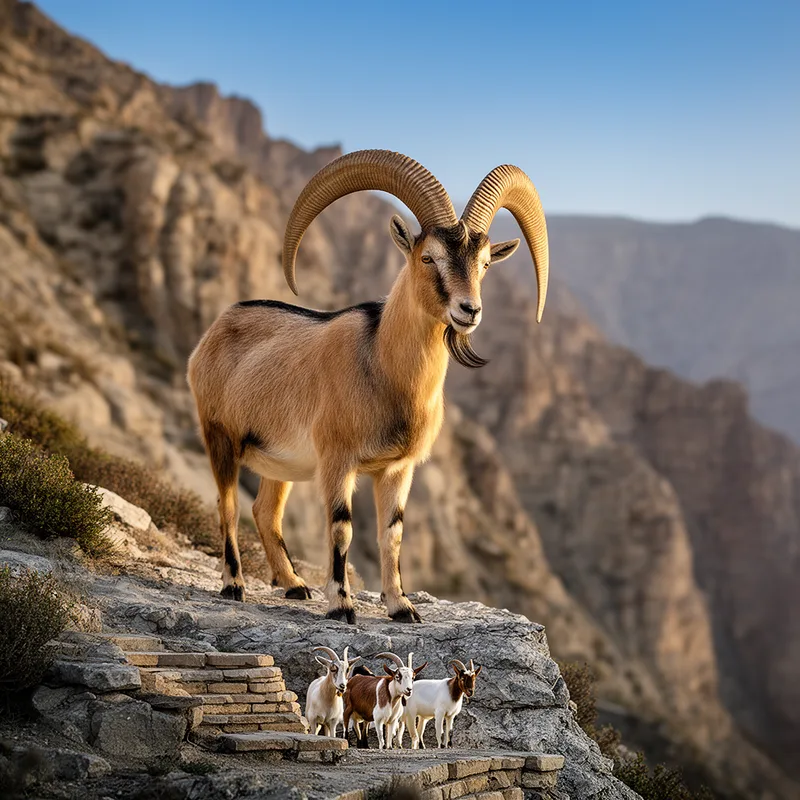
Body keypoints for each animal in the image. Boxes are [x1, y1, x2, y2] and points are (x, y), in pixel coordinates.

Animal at [187, 149, 549, 623]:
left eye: (485, 263)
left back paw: (294, 585)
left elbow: (392, 532)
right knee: (228, 504)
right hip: (220, 436)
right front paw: (342, 604)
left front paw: (402, 606)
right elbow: (342, 526)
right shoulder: (338, 460)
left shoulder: (397, 468)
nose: (469, 310)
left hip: (280, 462)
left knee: (264, 511)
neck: (382, 369)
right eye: (428, 257)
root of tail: (215, 328)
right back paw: (234, 585)